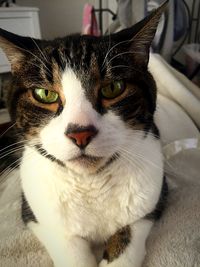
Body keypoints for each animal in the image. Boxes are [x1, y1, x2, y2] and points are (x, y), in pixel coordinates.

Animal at [0, 2, 168, 267]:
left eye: (113, 88)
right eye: (44, 94)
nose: (81, 133)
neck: (90, 183)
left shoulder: (153, 200)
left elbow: (129, 233)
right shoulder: (36, 213)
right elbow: (69, 246)